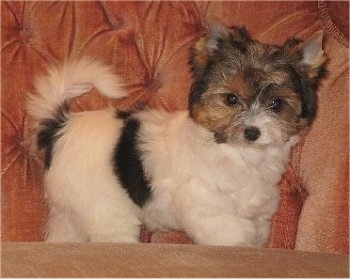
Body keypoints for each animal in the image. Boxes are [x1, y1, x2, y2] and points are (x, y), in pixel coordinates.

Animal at [28, 23, 328, 247]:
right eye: (231, 99)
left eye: (276, 104)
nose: (252, 131)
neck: (240, 155)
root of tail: (61, 125)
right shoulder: (206, 206)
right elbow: (231, 232)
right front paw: (240, 243)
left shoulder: (258, 210)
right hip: (104, 203)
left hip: (69, 204)